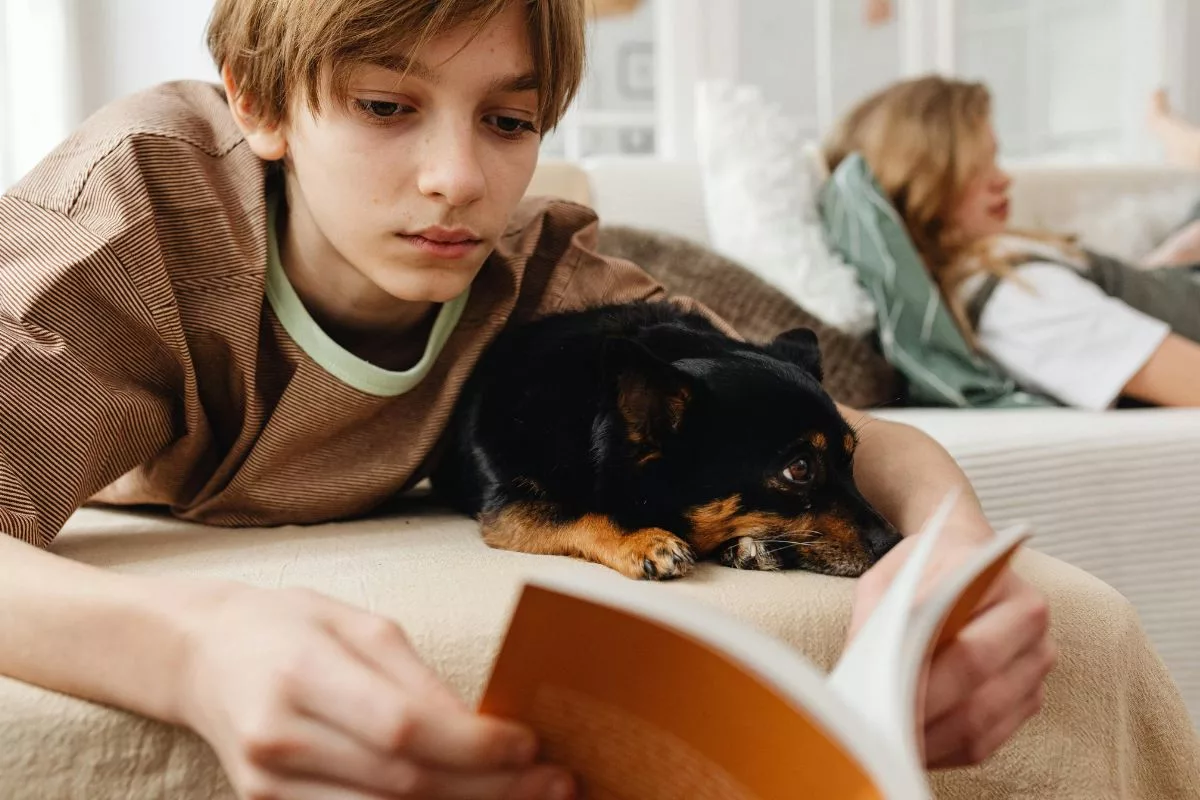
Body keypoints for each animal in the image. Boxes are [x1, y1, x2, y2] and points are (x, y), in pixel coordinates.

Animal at [434, 303, 902, 578]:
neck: (595, 406)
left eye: (851, 460)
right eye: (800, 469)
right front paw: (643, 539)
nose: (895, 545)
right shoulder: (510, 507)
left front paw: (750, 544)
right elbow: (577, 512)